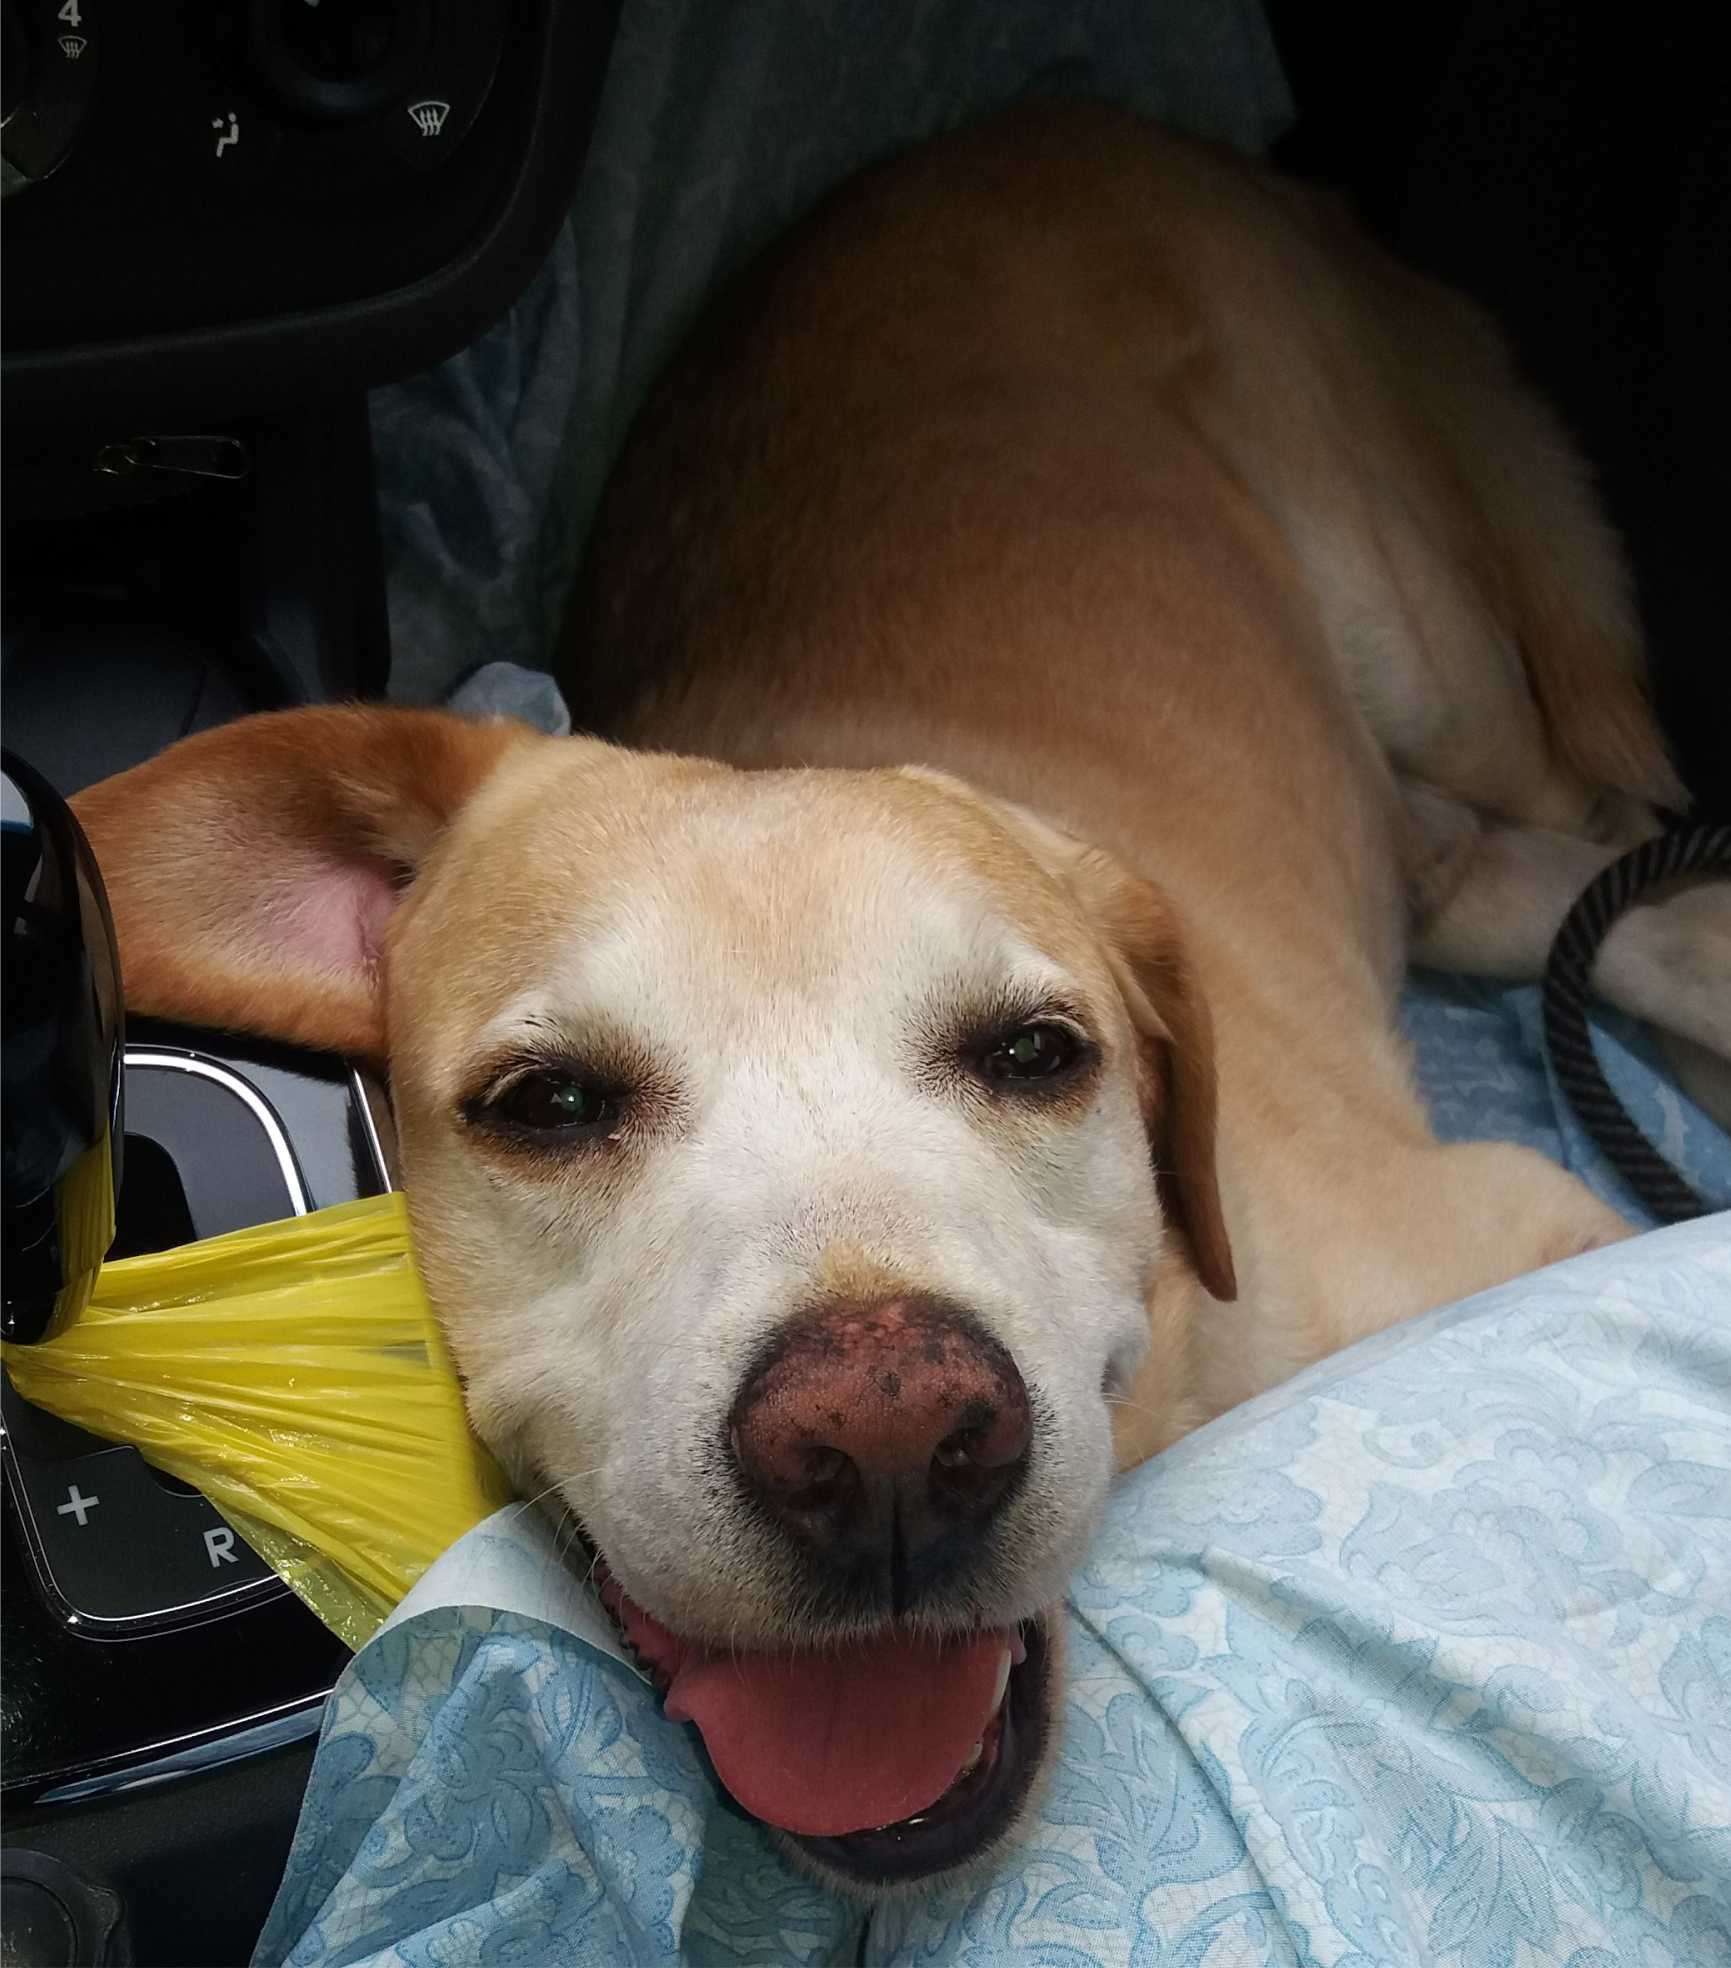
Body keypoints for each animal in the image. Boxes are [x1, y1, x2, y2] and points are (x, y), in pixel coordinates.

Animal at [72, 103, 1731, 1895]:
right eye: (548, 1102)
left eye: (1035, 1054)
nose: (884, 1445)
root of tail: (1065, 111)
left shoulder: (1516, 1220)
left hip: (1431, 655)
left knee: (1582, 827)